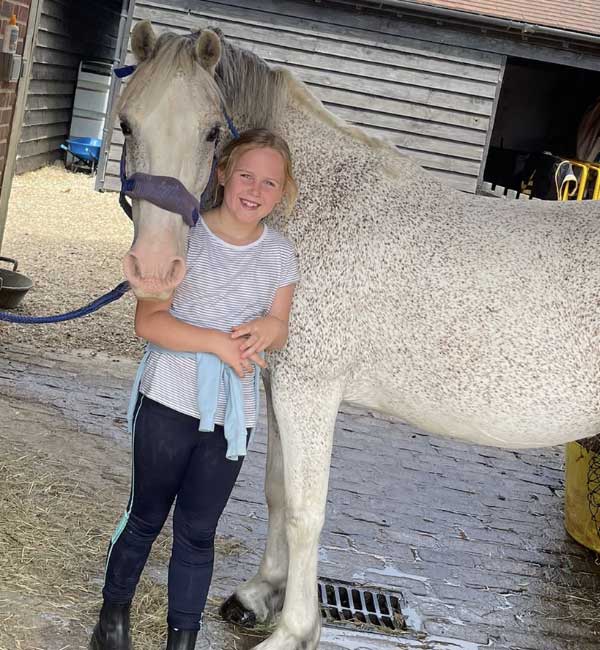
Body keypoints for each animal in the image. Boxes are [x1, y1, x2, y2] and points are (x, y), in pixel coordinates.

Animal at [118, 22, 600, 648]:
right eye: (127, 123)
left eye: (209, 132)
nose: (154, 268)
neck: (310, 202)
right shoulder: (279, 385)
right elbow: (277, 492)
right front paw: (258, 595)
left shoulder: (310, 390)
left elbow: (305, 510)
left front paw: (294, 630)